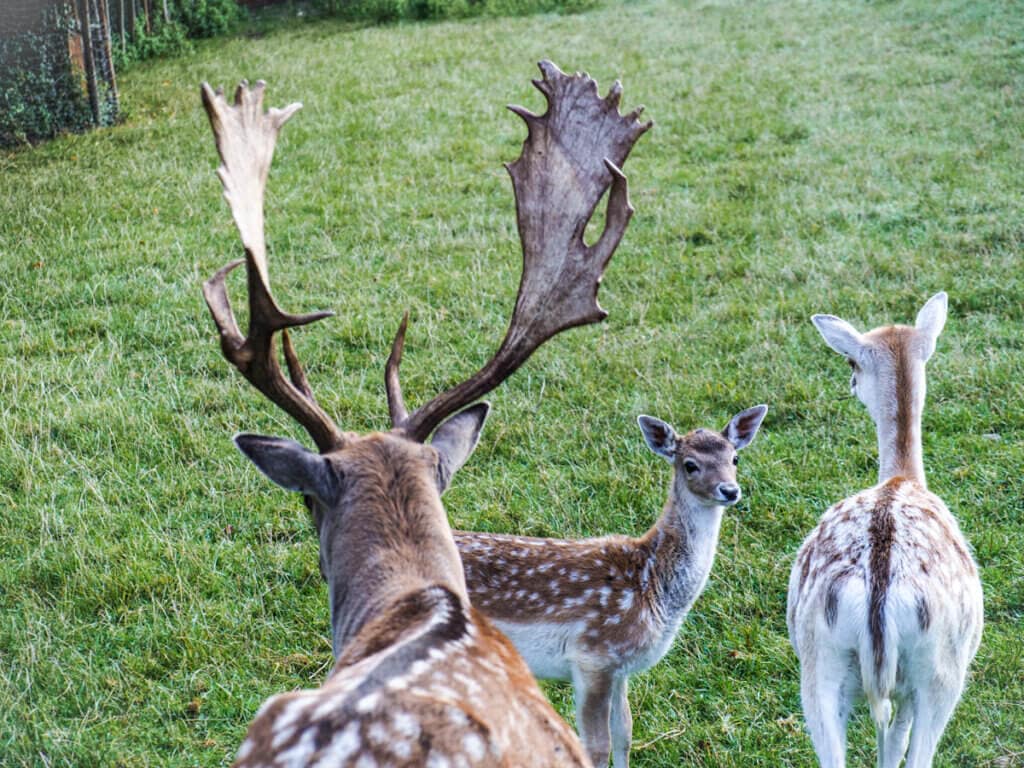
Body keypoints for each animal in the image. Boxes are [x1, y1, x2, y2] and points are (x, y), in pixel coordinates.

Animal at [456, 405, 770, 765]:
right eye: (690, 464)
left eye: (735, 458)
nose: (729, 491)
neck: (652, 585)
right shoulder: (592, 656)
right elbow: (596, 745)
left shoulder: (621, 667)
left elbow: (625, 733)